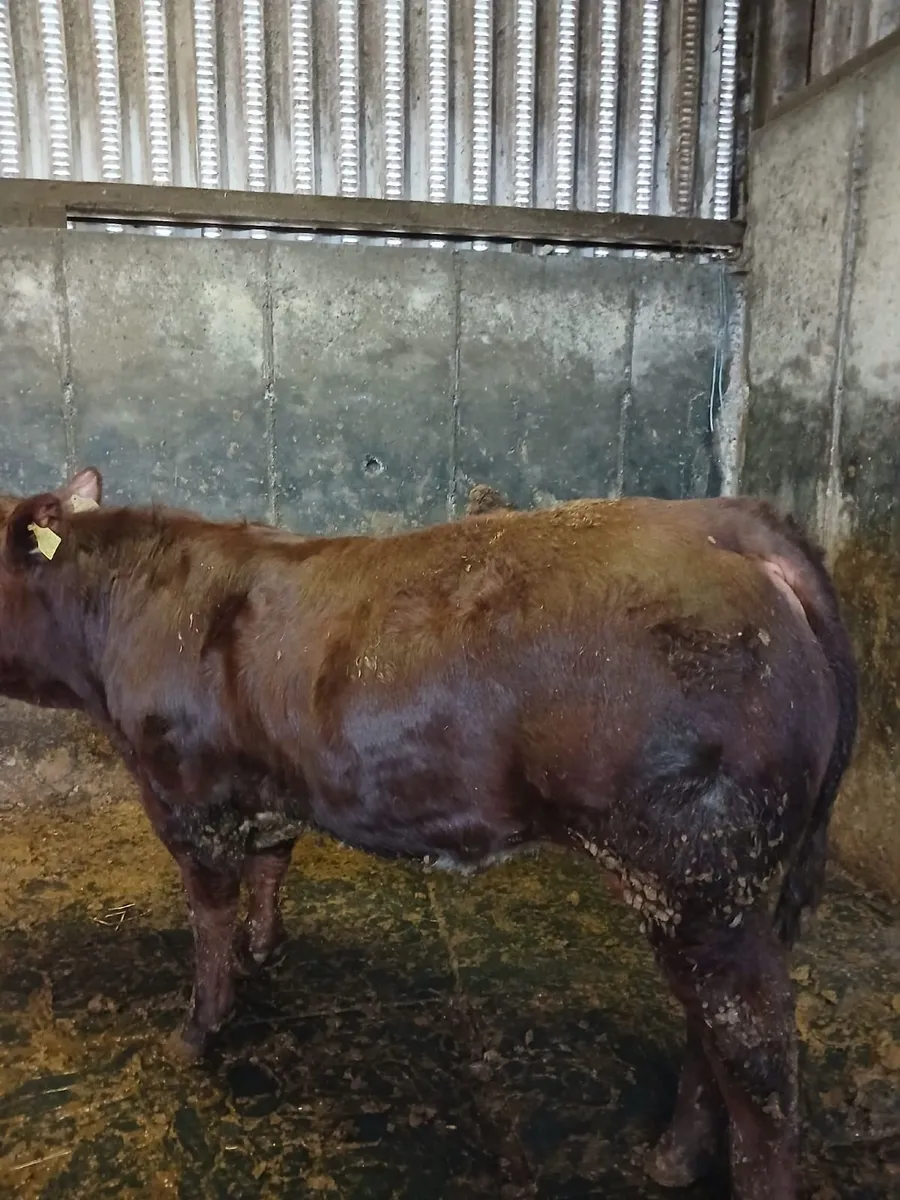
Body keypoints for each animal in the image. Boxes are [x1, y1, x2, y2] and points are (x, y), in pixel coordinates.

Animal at [0, 468, 857, 1200]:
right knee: (711, 1036)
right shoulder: (271, 788)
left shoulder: (184, 793)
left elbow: (208, 917)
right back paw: (673, 1155)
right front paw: (263, 950)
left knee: (761, 1062)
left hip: (700, 874)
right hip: (714, 893)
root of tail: (724, 520)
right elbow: (271, 868)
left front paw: (196, 1031)